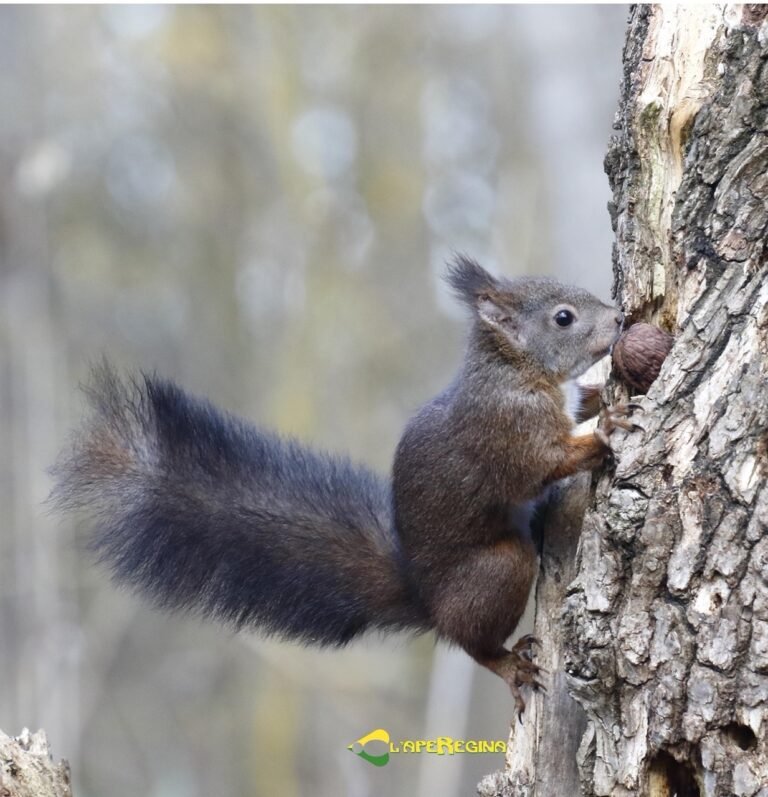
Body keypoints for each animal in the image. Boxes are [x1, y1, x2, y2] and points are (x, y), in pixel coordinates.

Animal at [51, 256, 632, 716]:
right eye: (563, 317)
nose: (620, 318)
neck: (514, 370)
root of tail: (425, 598)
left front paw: (600, 394)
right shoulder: (507, 428)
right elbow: (543, 462)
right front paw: (605, 429)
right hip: (495, 570)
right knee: (471, 641)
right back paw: (507, 664)